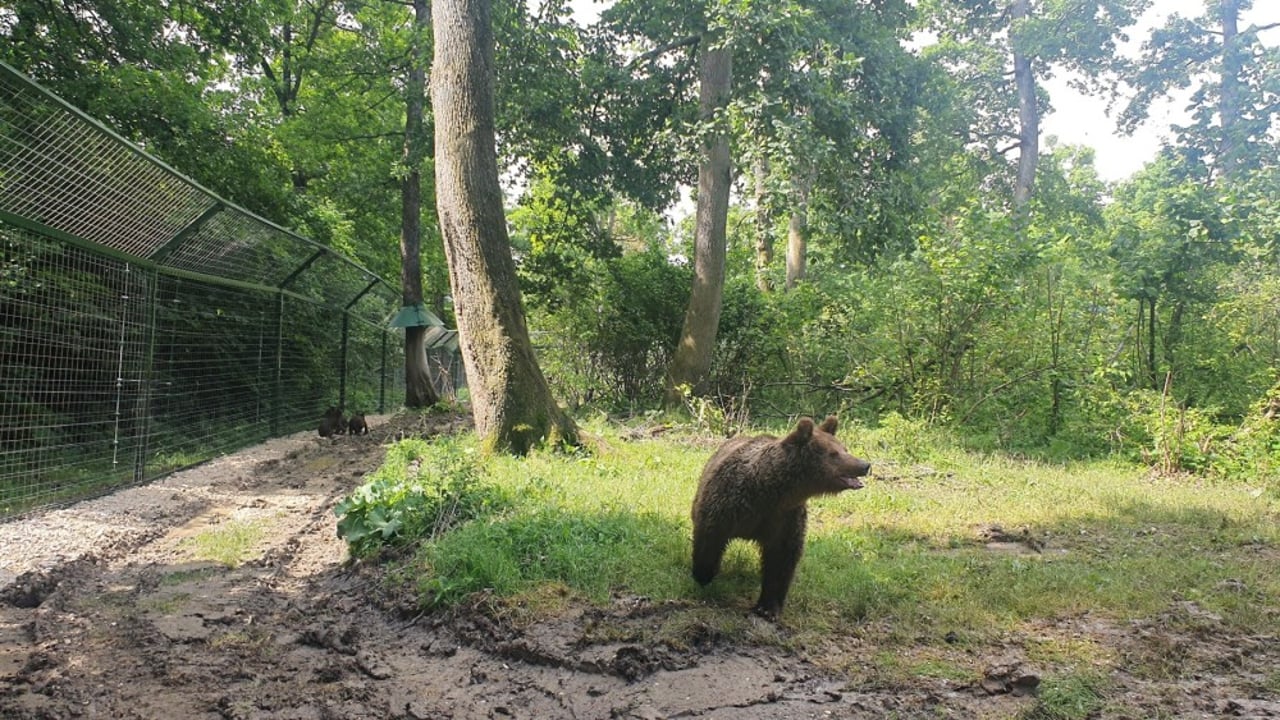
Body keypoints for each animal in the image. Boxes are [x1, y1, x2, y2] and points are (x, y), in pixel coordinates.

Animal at [691, 415, 870, 617]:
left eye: (844, 448)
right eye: (834, 453)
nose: (864, 465)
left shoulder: (785, 518)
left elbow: (781, 559)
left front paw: (767, 607)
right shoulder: (729, 505)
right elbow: (710, 537)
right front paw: (703, 575)